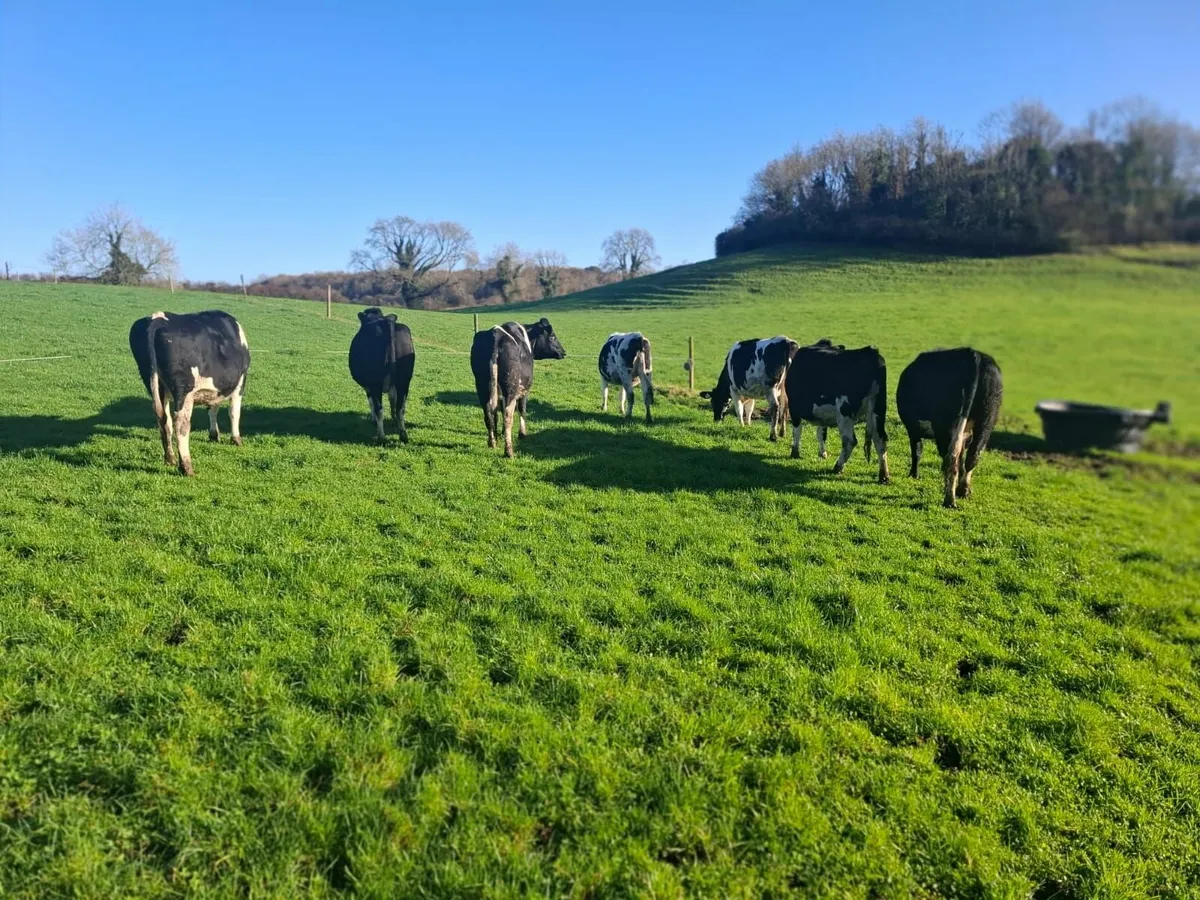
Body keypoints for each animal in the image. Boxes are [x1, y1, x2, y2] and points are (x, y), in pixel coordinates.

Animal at [129, 310, 250, 476]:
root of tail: (157, 319)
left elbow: (212, 409)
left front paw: (214, 435)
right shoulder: (241, 382)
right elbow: (234, 412)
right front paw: (236, 439)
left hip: (155, 384)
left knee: (164, 420)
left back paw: (170, 458)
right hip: (183, 389)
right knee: (181, 423)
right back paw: (186, 467)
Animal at [348, 307, 416, 443]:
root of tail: (387, 321)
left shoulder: (369, 386)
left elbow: (371, 402)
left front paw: (373, 419)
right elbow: (393, 400)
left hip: (376, 382)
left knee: (379, 409)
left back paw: (381, 437)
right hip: (404, 381)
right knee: (401, 407)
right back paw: (403, 434)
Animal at [470, 318, 567, 457]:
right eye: (552, 336)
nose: (563, 352)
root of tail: (495, 335)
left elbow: (498, 410)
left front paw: (500, 434)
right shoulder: (524, 389)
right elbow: (522, 409)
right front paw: (522, 434)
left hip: (482, 385)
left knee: (488, 412)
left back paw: (492, 442)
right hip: (511, 386)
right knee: (508, 415)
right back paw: (509, 451)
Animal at [785, 342, 890, 483]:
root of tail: (870, 353)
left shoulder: (793, 407)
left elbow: (797, 431)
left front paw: (795, 452)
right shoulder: (822, 416)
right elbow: (821, 433)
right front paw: (822, 453)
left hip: (845, 412)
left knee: (850, 441)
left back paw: (838, 467)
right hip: (877, 410)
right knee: (880, 439)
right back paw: (884, 476)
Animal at [896, 348, 1003, 508]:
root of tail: (974, 354)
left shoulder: (912, 428)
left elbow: (917, 451)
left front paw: (914, 475)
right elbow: (963, 458)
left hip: (946, 427)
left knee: (950, 457)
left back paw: (949, 500)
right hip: (987, 419)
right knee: (973, 455)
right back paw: (963, 490)